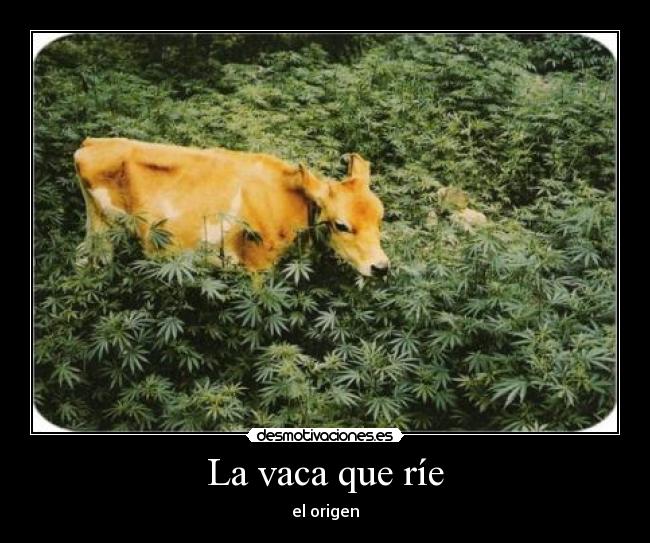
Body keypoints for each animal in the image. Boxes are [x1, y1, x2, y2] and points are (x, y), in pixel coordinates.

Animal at [74, 138, 390, 276]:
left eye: (380, 219)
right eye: (342, 225)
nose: (381, 267)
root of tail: (92, 142)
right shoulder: (257, 266)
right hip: (103, 233)